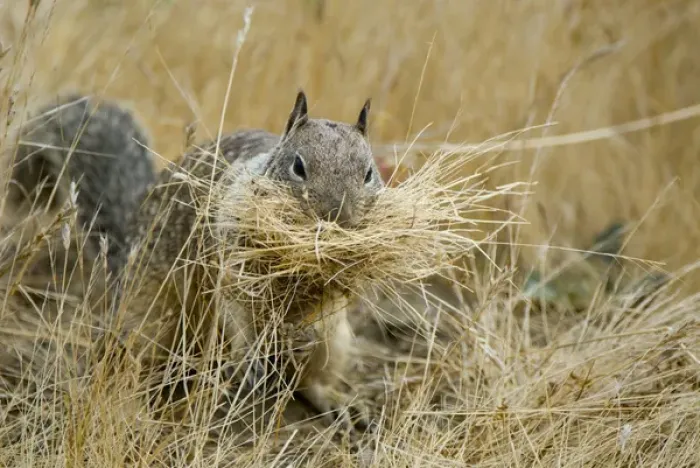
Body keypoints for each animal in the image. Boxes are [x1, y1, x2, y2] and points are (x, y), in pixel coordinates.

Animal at [120, 90, 384, 430]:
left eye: (369, 173)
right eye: (298, 166)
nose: (339, 219)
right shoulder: (230, 263)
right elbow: (235, 312)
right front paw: (248, 359)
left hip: (336, 343)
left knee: (309, 380)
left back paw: (342, 403)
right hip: (148, 316)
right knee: (138, 362)